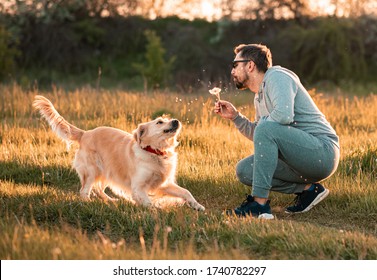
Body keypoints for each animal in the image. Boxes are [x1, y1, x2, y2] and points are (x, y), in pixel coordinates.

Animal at [33, 95, 203, 211]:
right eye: (159, 122)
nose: (176, 121)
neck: (155, 152)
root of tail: (85, 133)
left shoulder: (164, 183)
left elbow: (185, 192)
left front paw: (197, 205)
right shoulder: (138, 187)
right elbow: (148, 202)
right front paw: (156, 210)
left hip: (108, 171)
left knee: (99, 189)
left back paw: (111, 201)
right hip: (93, 170)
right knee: (84, 191)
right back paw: (88, 203)